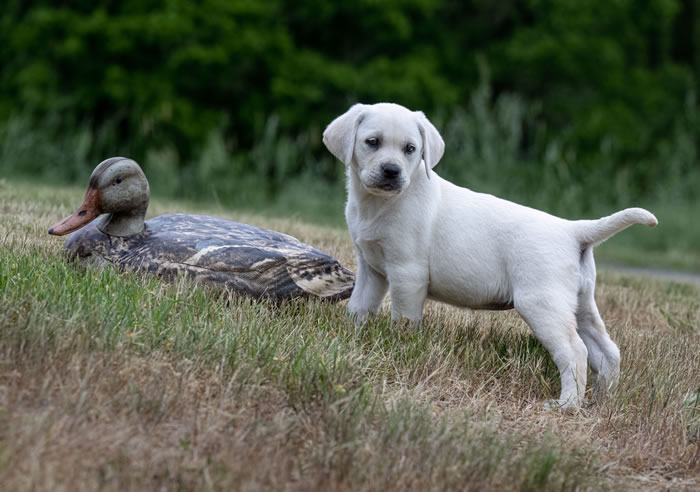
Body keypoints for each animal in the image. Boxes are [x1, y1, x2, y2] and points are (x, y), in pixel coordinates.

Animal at [323, 102, 657, 408]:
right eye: (372, 142)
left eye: (410, 149)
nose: (391, 171)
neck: (379, 204)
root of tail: (573, 230)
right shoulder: (371, 269)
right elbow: (359, 306)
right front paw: (352, 336)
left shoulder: (407, 274)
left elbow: (404, 320)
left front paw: (400, 347)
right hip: (580, 304)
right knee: (606, 352)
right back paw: (602, 401)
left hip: (541, 304)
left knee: (575, 351)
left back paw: (568, 405)